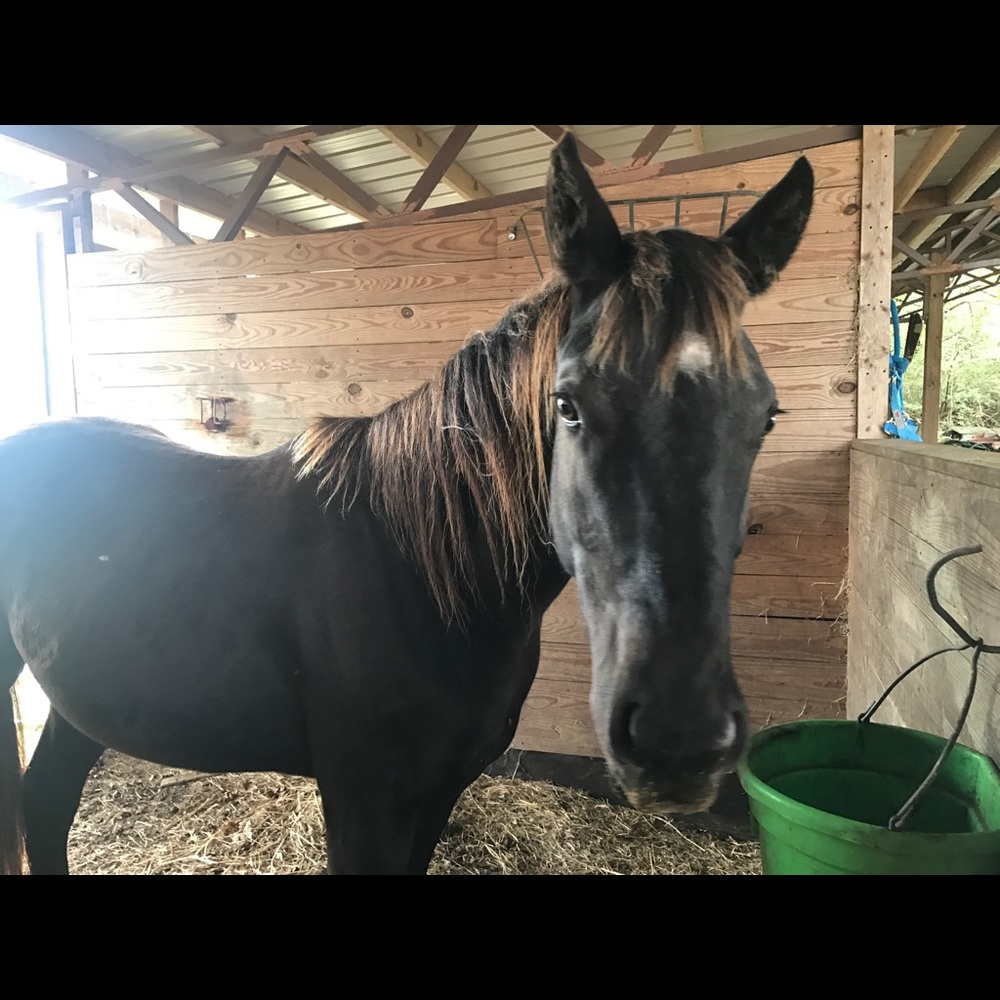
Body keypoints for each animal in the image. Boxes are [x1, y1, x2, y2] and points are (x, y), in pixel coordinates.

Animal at [0, 136, 813, 874]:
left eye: (766, 416)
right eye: (568, 404)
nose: (679, 743)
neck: (418, 573)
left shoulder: (439, 790)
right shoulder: (363, 799)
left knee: (46, 802)